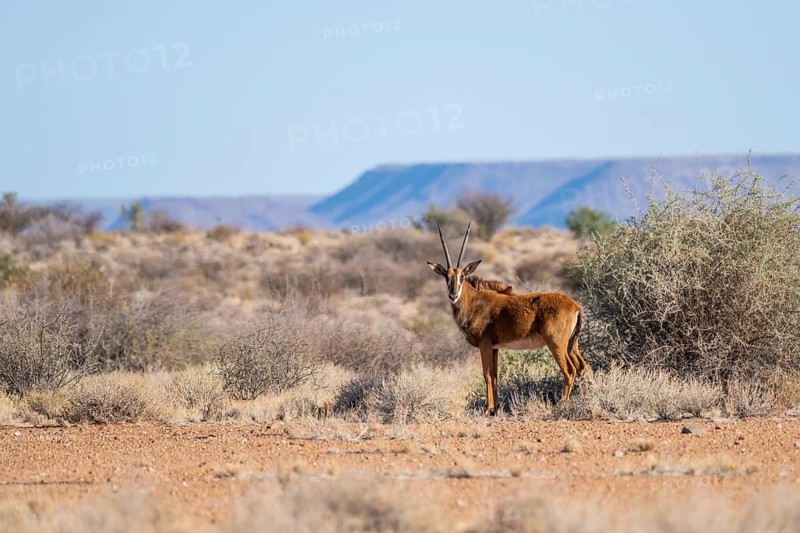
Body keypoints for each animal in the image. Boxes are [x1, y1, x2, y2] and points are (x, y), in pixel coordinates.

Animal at [427, 222, 588, 415]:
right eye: (446, 276)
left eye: (462, 276)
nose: (453, 294)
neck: (475, 301)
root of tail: (575, 305)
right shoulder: (495, 347)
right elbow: (495, 376)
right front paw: (495, 408)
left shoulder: (485, 345)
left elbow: (487, 375)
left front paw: (487, 409)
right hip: (572, 345)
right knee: (583, 367)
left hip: (556, 344)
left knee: (570, 371)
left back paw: (562, 405)